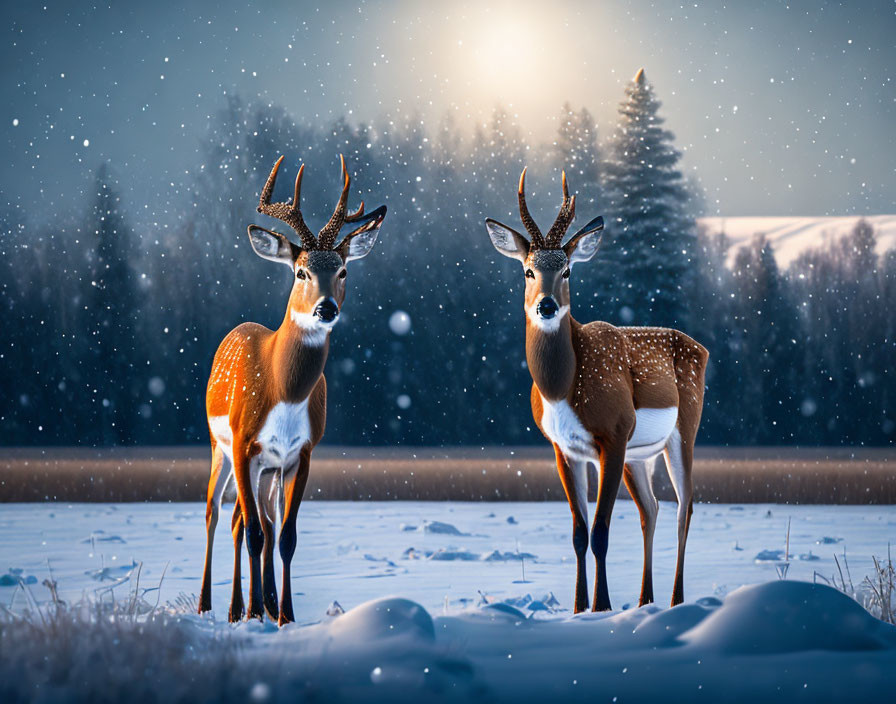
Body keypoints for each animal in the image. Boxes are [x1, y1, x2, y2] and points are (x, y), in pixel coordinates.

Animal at [198, 154, 386, 620]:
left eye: (342, 270)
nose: (326, 308)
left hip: (268, 469)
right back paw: (215, 606)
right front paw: (254, 615)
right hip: (220, 445)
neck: (282, 389)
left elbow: (285, 537)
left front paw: (284, 615)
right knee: (216, 513)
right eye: (301, 271)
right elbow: (254, 534)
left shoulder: (302, 452)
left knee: (252, 520)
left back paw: (254, 604)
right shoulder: (244, 441)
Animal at [484, 169, 708, 612]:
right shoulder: (564, 448)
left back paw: (675, 601)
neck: (563, 388)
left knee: (684, 506)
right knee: (651, 509)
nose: (547, 306)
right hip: (639, 454)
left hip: (683, 430)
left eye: (568, 270)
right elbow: (578, 532)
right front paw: (577, 607)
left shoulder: (613, 434)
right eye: (527, 271)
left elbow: (601, 530)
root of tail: (703, 349)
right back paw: (644, 600)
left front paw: (601, 607)